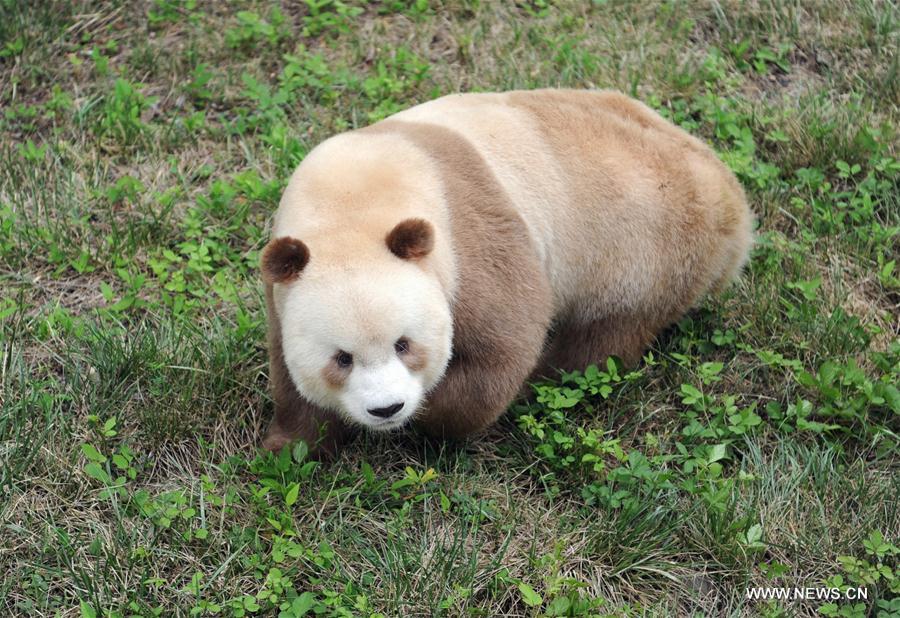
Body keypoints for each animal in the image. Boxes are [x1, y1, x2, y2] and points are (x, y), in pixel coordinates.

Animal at [260, 89, 753, 455]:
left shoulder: (468, 237)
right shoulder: (284, 285)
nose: (387, 409)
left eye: (404, 344)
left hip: (644, 251)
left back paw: (546, 377)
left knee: (603, 339)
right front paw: (289, 446)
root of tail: (732, 201)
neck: (352, 204)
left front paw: (431, 414)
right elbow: (288, 370)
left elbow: (503, 343)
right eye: (341, 358)